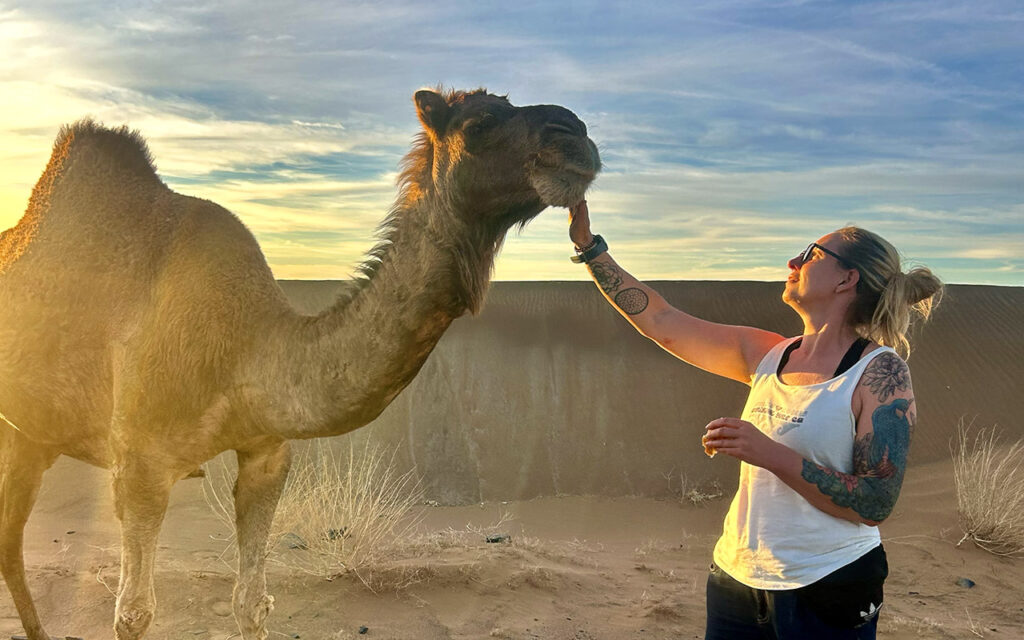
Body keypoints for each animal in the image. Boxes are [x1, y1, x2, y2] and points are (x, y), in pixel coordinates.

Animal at [0, 88, 600, 640]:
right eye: (479, 124)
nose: (577, 135)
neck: (245, 344)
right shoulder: (140, 464)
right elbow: (134, 615)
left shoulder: (267, 451)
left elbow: (250, 603)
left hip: (34, 434)